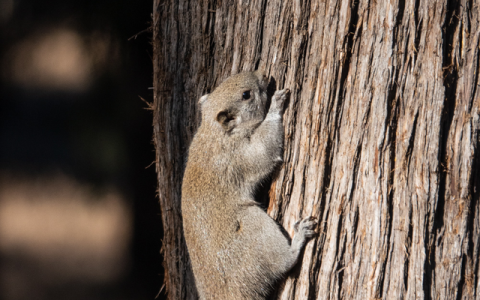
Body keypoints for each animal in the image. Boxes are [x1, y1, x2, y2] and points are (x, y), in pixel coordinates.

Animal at [182, 71, 316, 298]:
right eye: (246, 95)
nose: (263, 74)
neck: (214, 133)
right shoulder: (240, 157)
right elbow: (264, 151)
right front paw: (275, 104)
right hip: (254, 225)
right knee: (282, 262)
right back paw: (297, 240)